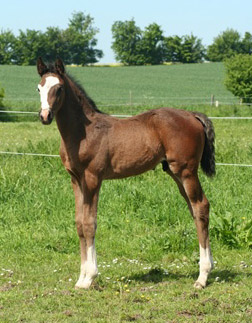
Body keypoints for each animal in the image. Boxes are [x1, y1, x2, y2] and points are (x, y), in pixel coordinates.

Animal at [37, 58, 215, 292]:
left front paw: (90, 277)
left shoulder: (93, 178)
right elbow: (79, 223)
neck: (83, 133)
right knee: (195, 209)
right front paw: (81, 278)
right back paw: (208, 268)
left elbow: (89, 223)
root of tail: (192, 115)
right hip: (176, 173)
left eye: (58, 88)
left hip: (186, 171)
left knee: (201, 206)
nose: (44, 116)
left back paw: (202, 277)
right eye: (39, 88)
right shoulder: (75, 179)